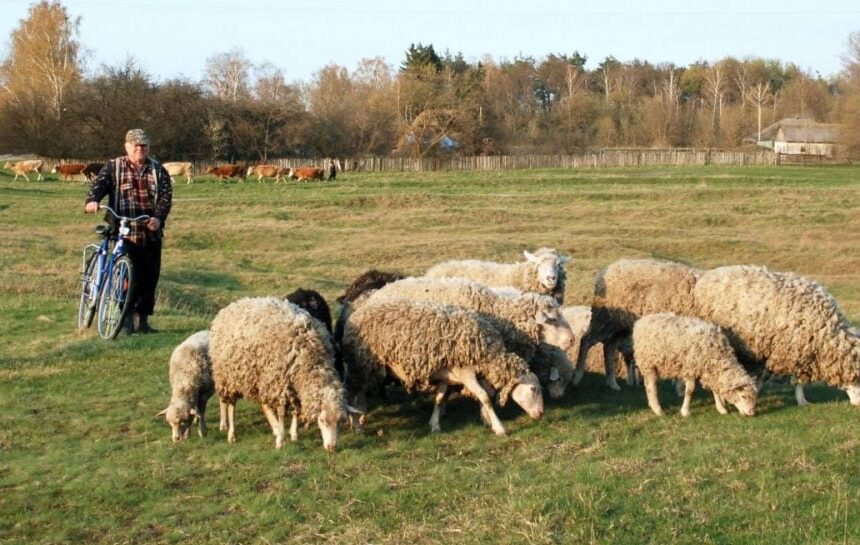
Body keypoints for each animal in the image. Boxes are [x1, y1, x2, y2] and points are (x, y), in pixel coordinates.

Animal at [209, 297, 359, 450]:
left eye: (342, 421)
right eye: (322, 420)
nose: (331, 448)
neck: (310, 356)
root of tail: (233, 305)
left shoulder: (293, 385)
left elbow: (296, 410)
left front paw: (293, 433)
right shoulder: (280, 384)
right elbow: (282, 413)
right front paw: (281, 439)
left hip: (260, 377)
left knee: (264, 404)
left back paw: (274, 427)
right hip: (228, 376)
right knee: (231, 406)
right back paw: (231, 433)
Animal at [341, 299, 544, 435]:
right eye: (533, 389)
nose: (541, 414)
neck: (489, 354)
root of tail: (355, 315)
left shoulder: (446, 376)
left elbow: (439, 399)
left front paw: (434, 424)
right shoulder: (466, 374)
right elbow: (484, 397)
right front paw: (499, 427)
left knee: (359, 396)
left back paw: (359, 420)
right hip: (361, 365)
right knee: (354, 394)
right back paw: (356, 425)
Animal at [574, 258, 703, 391]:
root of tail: (606, 271)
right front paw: (681, 388)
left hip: (621, 326)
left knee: (608, 347)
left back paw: (612, 383)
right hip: (604, 319)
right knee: (586, 341)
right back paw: (577, 377)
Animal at [694, 265, 860, 406]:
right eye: (856, 377)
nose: (858, 404)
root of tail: (709, 275)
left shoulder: (797, 351)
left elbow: (797, 379)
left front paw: (801, 400)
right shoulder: (782, 350)